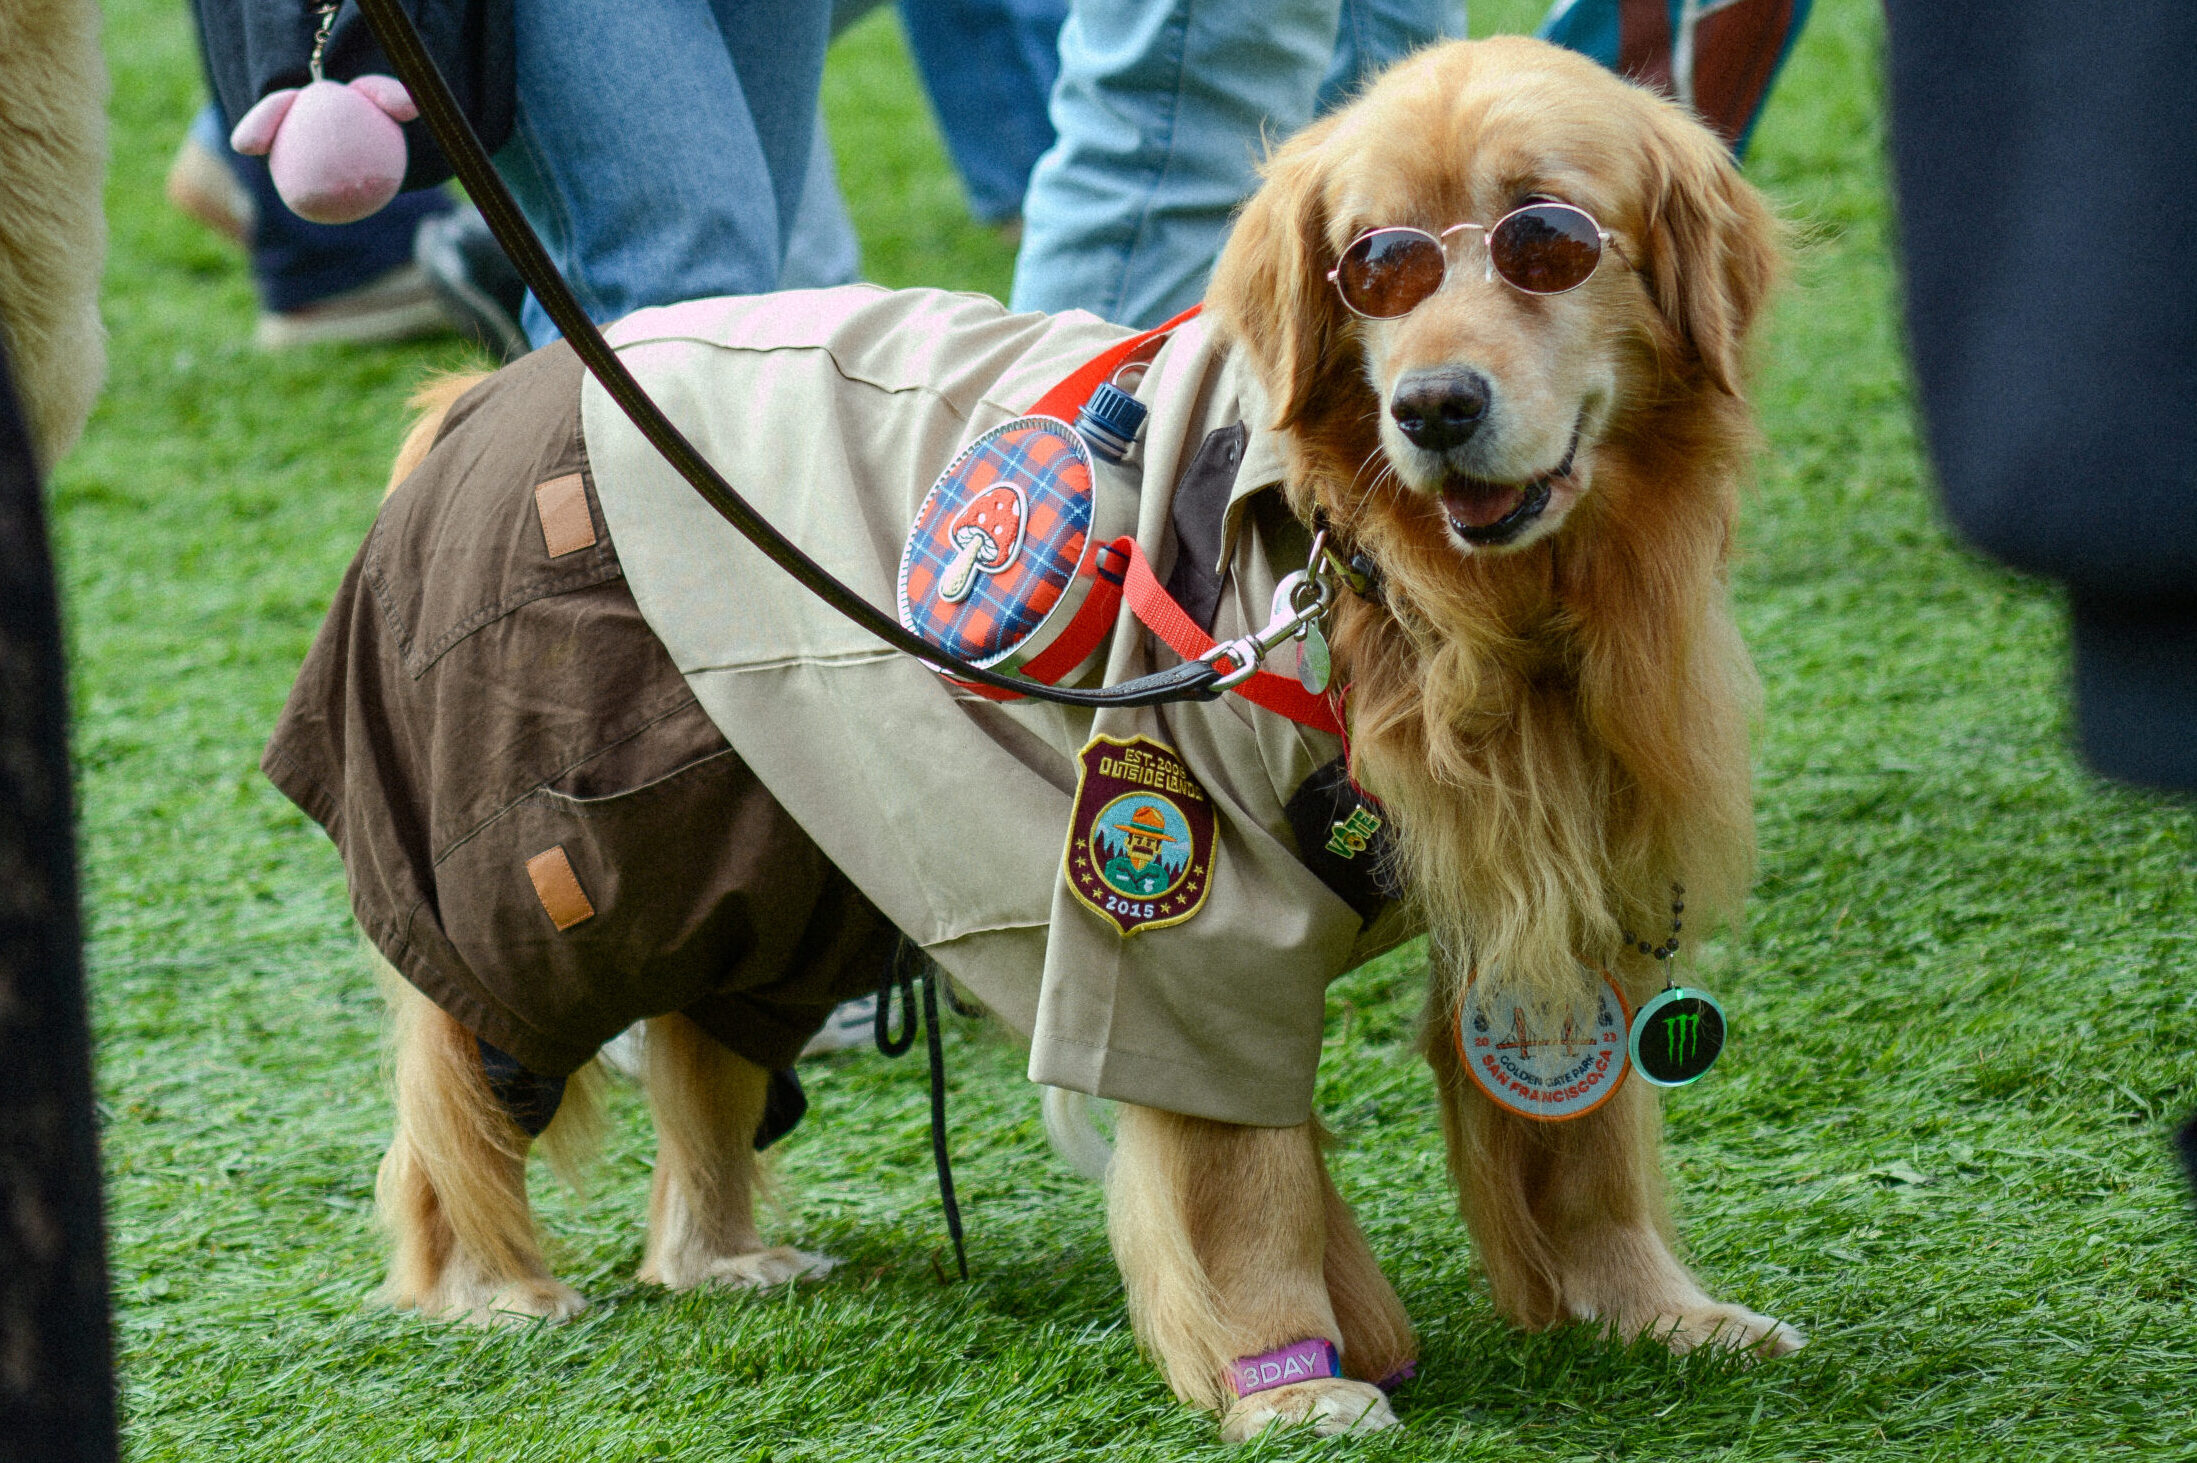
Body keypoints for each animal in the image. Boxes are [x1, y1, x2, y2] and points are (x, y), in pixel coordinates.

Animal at [342, 34, 1783, 1432]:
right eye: (1376, 263)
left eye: (1549, 238)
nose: (1432, 407)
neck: (1420, 585)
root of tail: (487, 392)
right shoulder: (1178, 890)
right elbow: (1242, 1175)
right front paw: (1289, 1372)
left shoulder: (1574, 871)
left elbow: (1581, 1137)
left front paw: (1648, 1306)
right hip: (568, 868)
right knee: (465, 1073)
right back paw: (481, 1278)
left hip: (777, 855)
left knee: (707, 1037)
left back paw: (717, 1254)